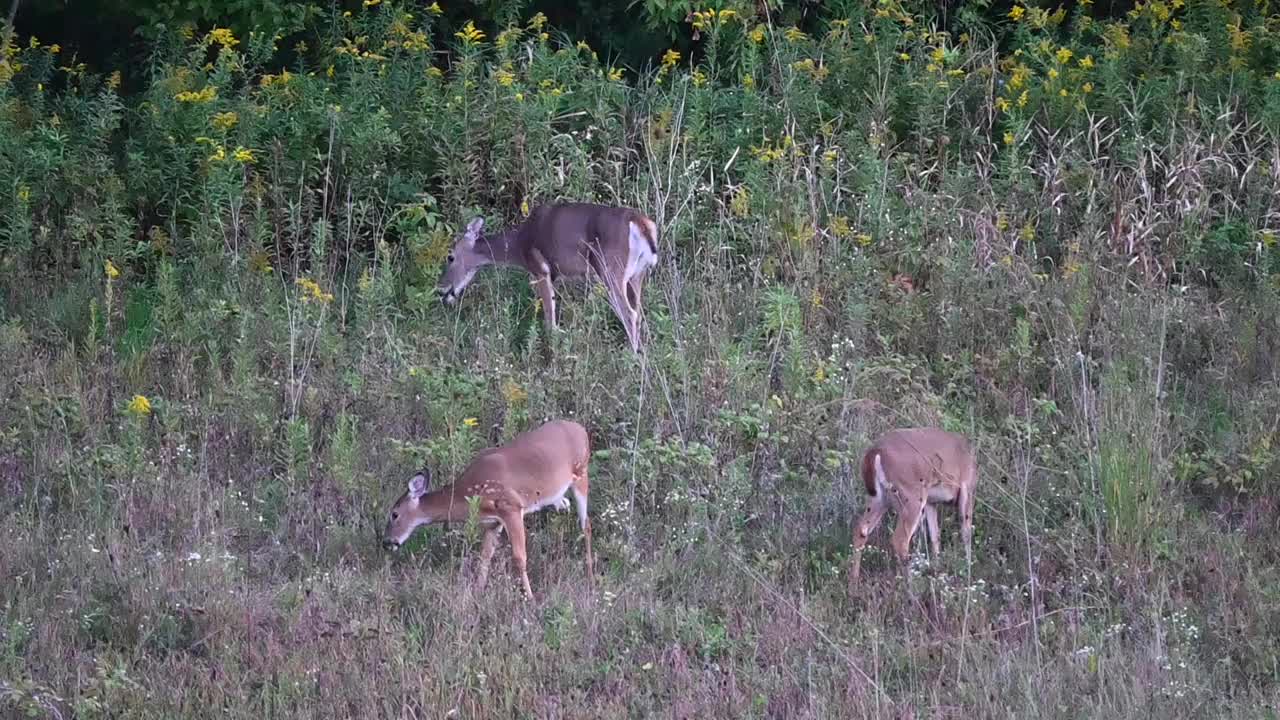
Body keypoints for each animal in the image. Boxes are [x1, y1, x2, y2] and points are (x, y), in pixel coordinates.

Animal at [378, 415, 593, 594]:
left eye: (394, 514)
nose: (387, 542)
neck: (470, 493)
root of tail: (581, 429)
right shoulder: (492, 522)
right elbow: (485, 557)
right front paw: (478, 592)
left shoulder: (511, 506)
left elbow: (519, 558)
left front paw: (530, 598)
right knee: (566, 506)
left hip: (581, 472)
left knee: (586, 524)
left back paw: (590, 574)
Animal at [437, 199, 660, 351]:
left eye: (450, 256)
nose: (441, 289)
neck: (520, 244)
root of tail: (640, 223)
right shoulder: (555, 276)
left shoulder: (540, 269)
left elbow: (549, 322)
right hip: (637, 274)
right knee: (638, 312)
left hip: (611, 269)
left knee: (629, 314)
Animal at [849, 425, 977, 584]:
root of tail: (875, 451)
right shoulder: (967, 489)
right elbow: (966, 533)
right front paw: (968, 572)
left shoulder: (931, 502)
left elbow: (935, 536)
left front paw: (937, 570)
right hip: (911, 496)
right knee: (900, 540)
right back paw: (911, 584)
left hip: (880, 498)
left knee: (860, 529)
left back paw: (853, 583)